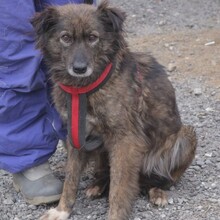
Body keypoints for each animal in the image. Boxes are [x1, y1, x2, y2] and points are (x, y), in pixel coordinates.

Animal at [31, 0, 197, 219]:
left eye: (93, 37)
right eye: (65, 38)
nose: (79, 68)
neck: (84, 88)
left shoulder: (125, 140)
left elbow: (118, 189)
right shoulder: (75, 136)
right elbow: (70, 179)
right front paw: (62, 210)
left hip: (186, 135)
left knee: (161, 179)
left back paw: (157, 191)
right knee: (106, 174)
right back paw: (98, 186)